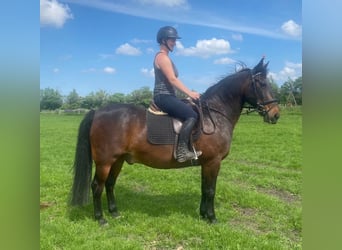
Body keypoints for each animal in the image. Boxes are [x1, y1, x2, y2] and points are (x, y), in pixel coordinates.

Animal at [70, 57, 280, 226]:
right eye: (262, 83)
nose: (275, 114)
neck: (215, 114)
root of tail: (98, 111)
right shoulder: (213, 162)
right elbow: (210, 190)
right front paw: (212, 218)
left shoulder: (206, 163)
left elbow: (204, 188)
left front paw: (203, 214)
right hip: (105, 162)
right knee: (97, 186)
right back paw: (100, 218)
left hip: (118, 160)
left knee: (110, 184)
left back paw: (114, 213)